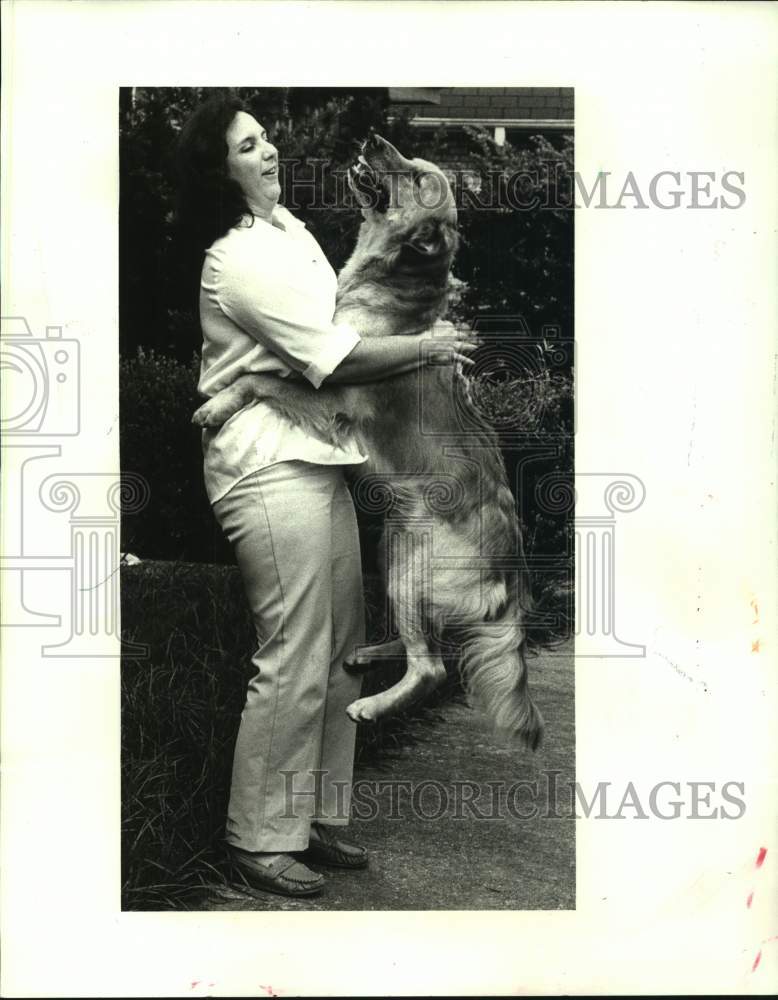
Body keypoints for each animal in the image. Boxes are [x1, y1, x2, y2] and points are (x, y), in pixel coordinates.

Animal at [192, 133, 544, 748]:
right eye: (413, 162)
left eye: (418, 177)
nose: (376, 139)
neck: (393, 286)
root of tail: (512, 576)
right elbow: (261, 374)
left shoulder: (333, 393)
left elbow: (258, 378)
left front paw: (216, 404)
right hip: (391, 546)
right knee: (420, 641)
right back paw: (368, 654)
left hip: (410, 562)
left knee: (432, 668)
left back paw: (371, 707)